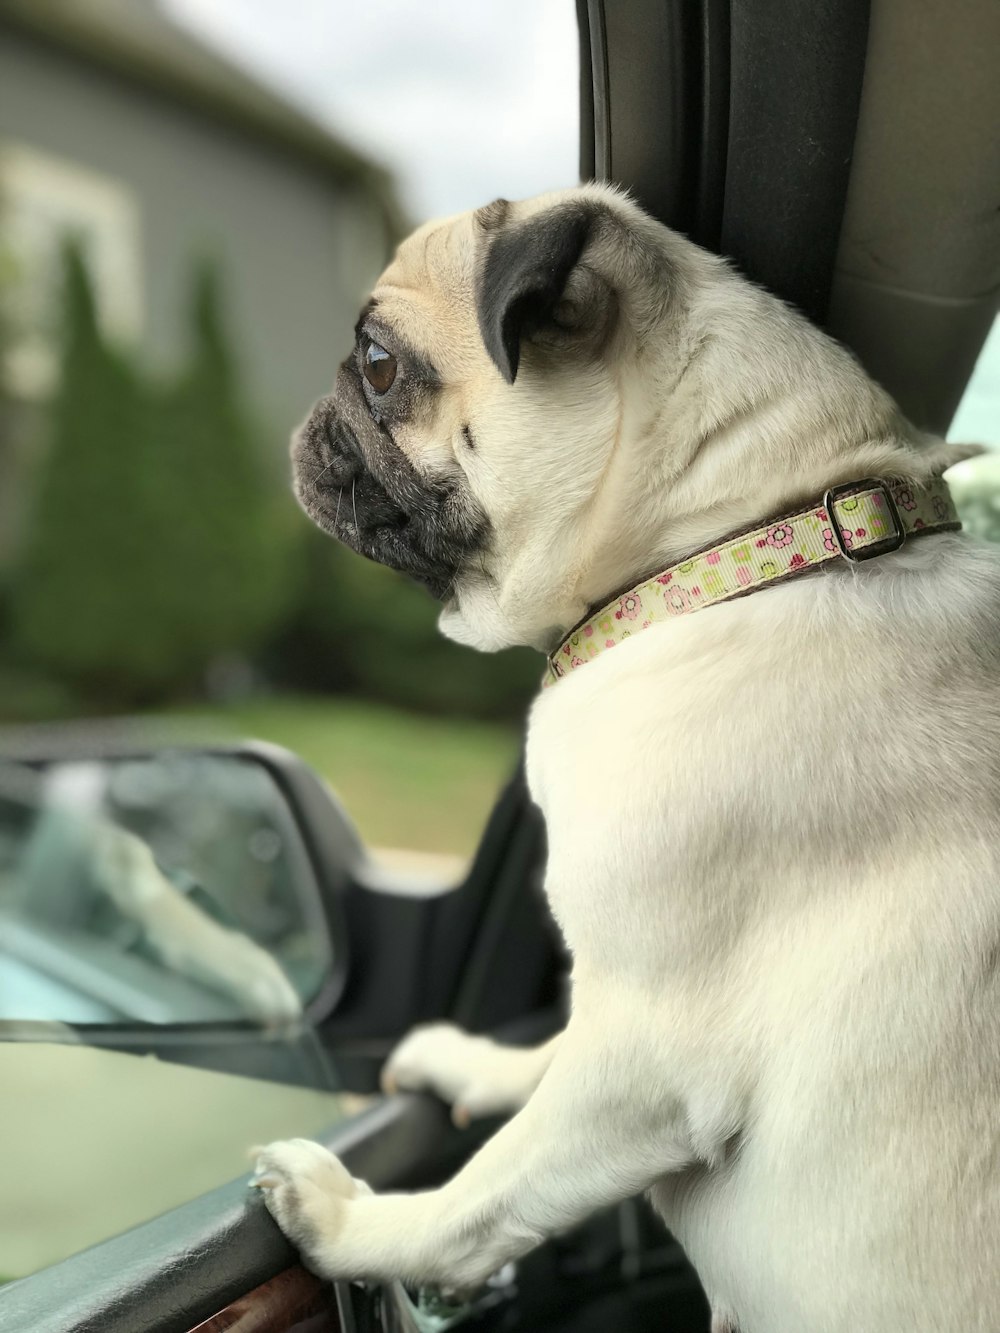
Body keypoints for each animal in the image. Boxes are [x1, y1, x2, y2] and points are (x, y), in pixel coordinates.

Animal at [252, 182, 1000, 1327]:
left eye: (376, 364)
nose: (315, 407)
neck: (736, 548)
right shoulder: (609, 1009)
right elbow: (550, 1055)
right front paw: (476, 1063)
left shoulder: (646, 1055)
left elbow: (486, 1192)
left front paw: (351, 1225)